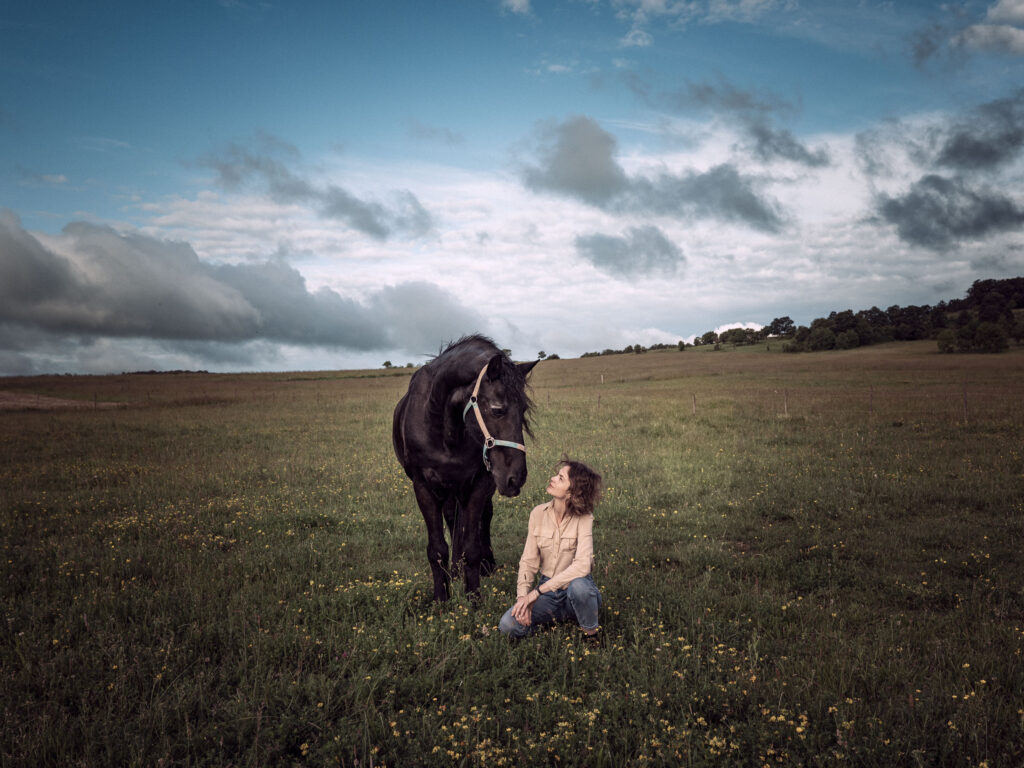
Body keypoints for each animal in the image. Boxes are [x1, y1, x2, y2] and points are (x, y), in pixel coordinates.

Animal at [392, 335, 538, 601]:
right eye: (497, 409)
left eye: (523, 409)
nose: (516, 477)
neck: (447, 432)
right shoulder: (423, 487)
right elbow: (438, 549)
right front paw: (441, 598)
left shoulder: (480, 483)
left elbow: (472, 546)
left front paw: (473, 599)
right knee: (452, 519)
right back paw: (455, 570)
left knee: (482, 517)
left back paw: (484, 565)